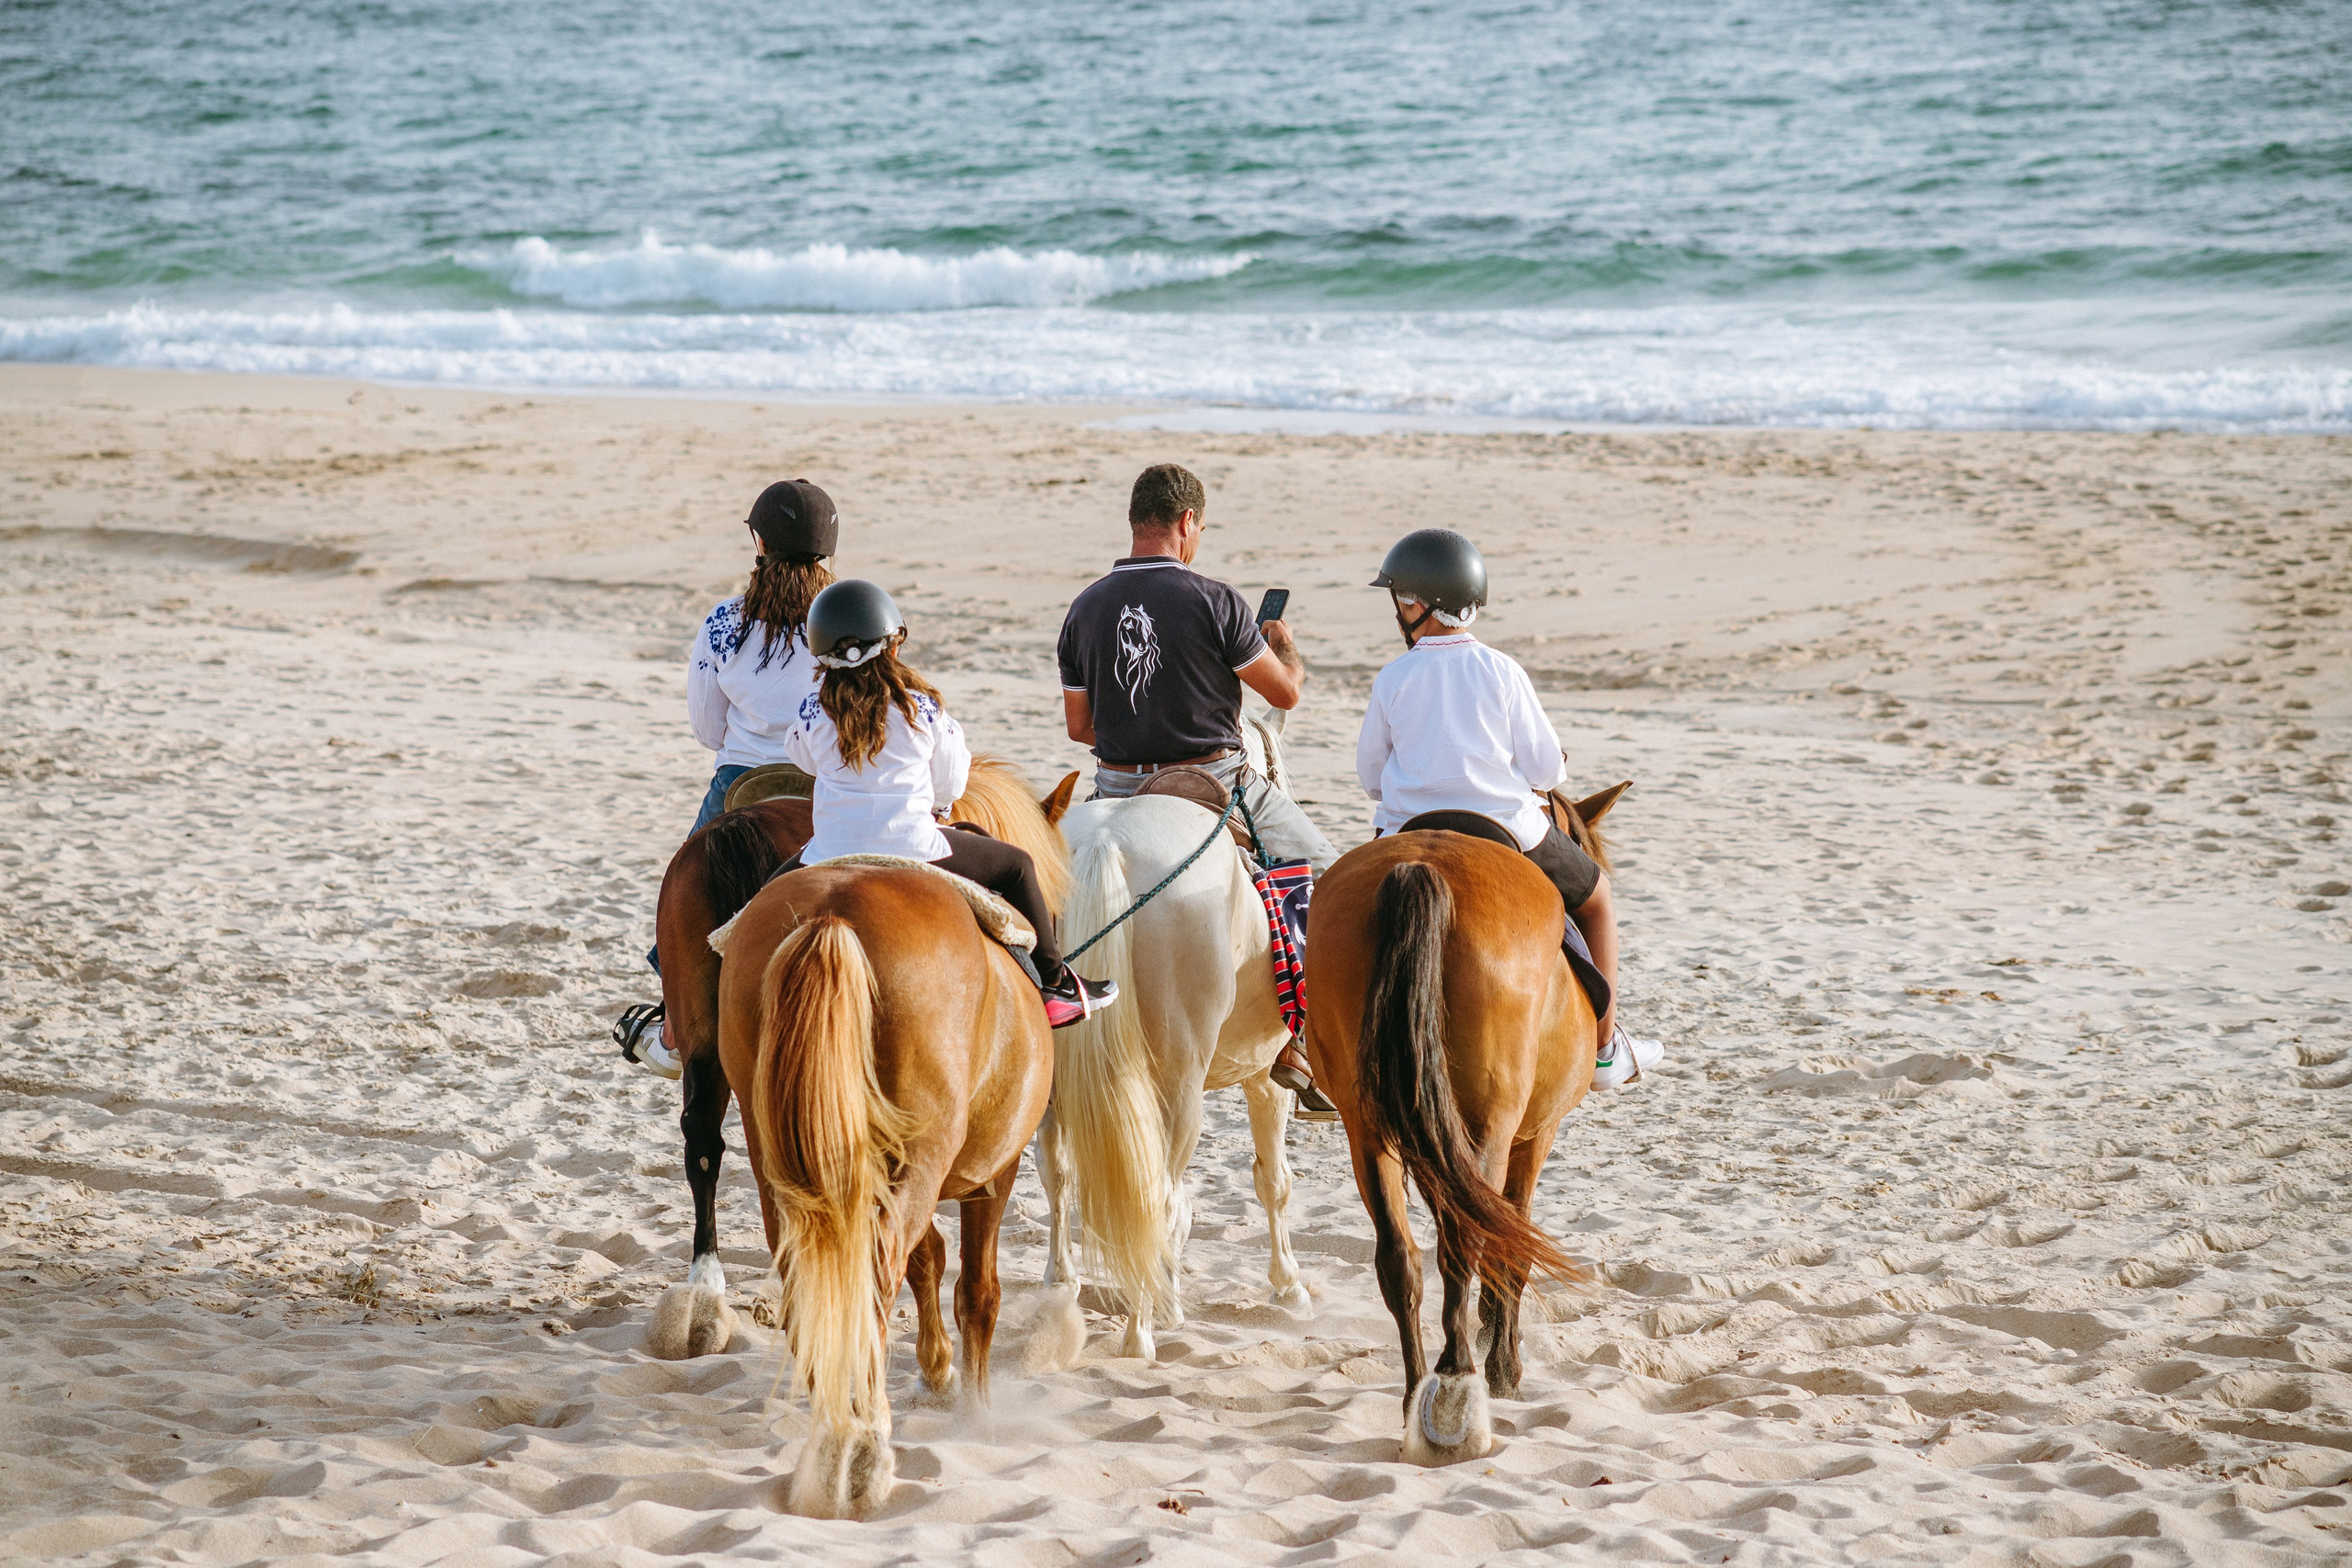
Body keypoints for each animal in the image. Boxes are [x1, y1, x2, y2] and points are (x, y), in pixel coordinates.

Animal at [713, 859, 1055, 1519]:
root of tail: (833, 911)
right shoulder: (993, 1172)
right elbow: (977, 1290)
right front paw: (976, 1408)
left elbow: (928, 1260)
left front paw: (939, 1372)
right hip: (921, 1153)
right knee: (876, 1272)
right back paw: (863, 1447)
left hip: (781, 1161)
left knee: (815, 1284)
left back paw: (832, 1439)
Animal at [1032, 708, 1311, 1359]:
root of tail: (1104, 844)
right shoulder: (1265, 1075)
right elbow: (1273, 1180)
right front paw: (1287, 1283)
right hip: (1177, 1084)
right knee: (1155, 1194)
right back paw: (1141, 1334)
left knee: (1057, 1175)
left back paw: (1064, 1284)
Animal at [1299, 784, 1628, 1466]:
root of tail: (1422, 870)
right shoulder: (1533, 1135)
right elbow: (1511, 1243)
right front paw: (1505, 1364)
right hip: (1490, 1125)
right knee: (1467, 1242)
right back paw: (1460, 1382)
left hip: (1367, 1127)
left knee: (1401, 1256)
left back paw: (1416, 1396)